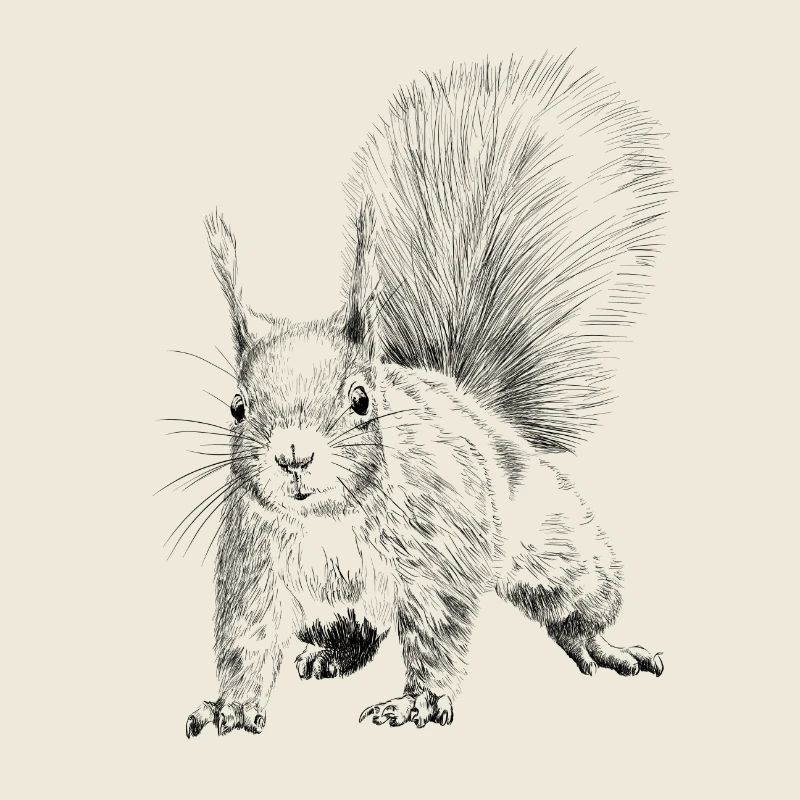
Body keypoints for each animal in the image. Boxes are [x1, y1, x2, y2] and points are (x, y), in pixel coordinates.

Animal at [181, 55, 670, 737]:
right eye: (237, 406)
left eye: (362, 400)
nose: (293, 456)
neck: (329, 519)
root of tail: (465, 396)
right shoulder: (254, 563)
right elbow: (246, 636)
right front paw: (229, 705)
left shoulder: (440, 550)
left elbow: (438, 629)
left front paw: (416, 702)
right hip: (329, 609)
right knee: (356, 631)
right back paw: (330, 655)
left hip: (553, 539)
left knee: (576, 595)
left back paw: (601, 644)